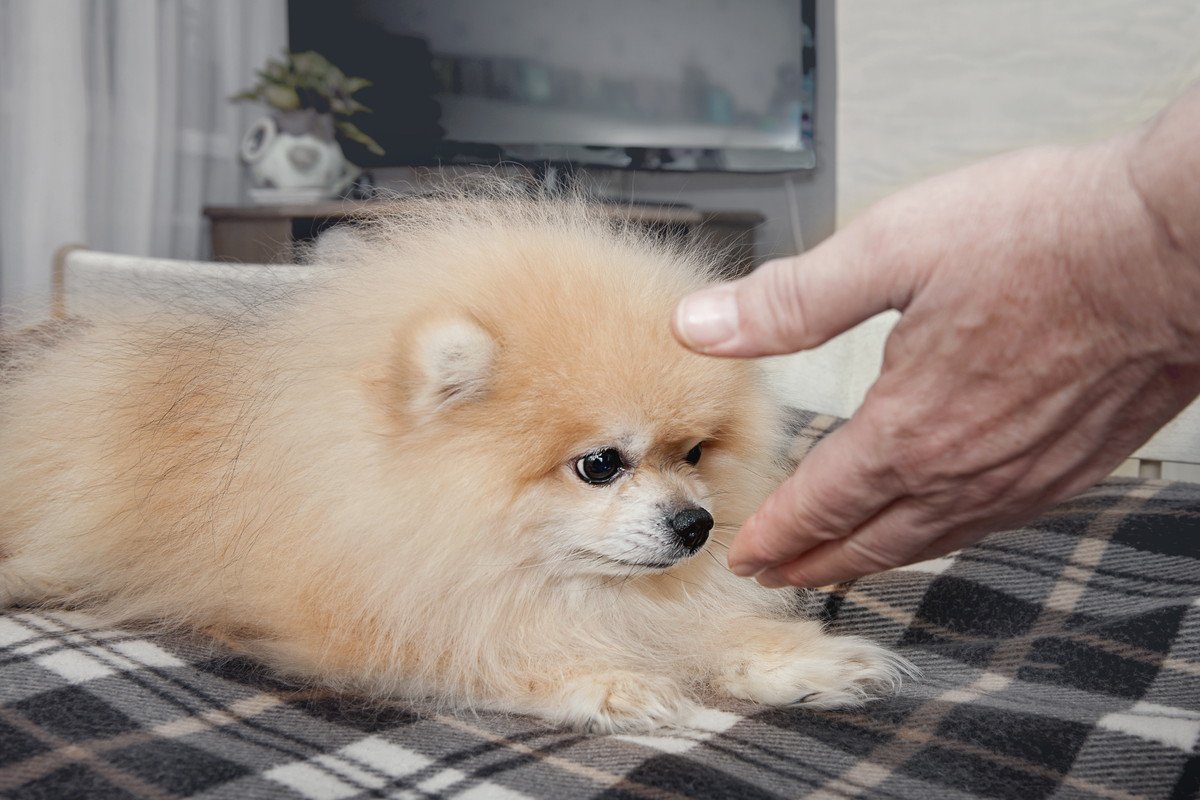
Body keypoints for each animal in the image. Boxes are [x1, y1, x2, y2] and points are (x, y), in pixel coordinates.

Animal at [0, 188, 907, 734]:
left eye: (694, 452)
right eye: (600, 464)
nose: (697, 524)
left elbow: (709, 629)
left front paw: (803, 661)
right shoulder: (367, 621)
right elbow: (482, 652)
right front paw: (614, 684)